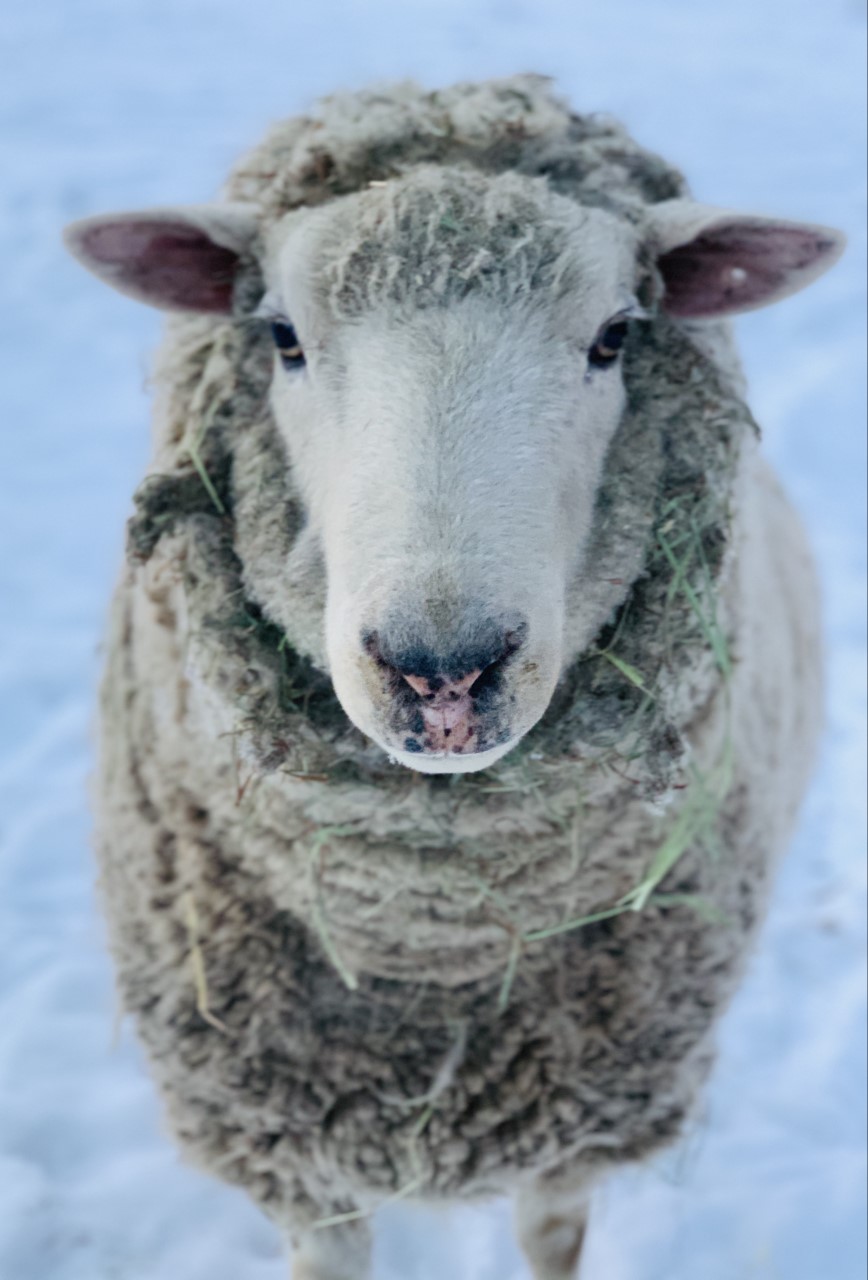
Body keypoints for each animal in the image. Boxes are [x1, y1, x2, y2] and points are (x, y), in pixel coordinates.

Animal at [63, 75, 844, 1280]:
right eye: (281, 337)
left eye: (614, 337)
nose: (441, 673)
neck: (435, 957)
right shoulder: (302, 1156)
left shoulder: (574, 1124)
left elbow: (553, 1239)